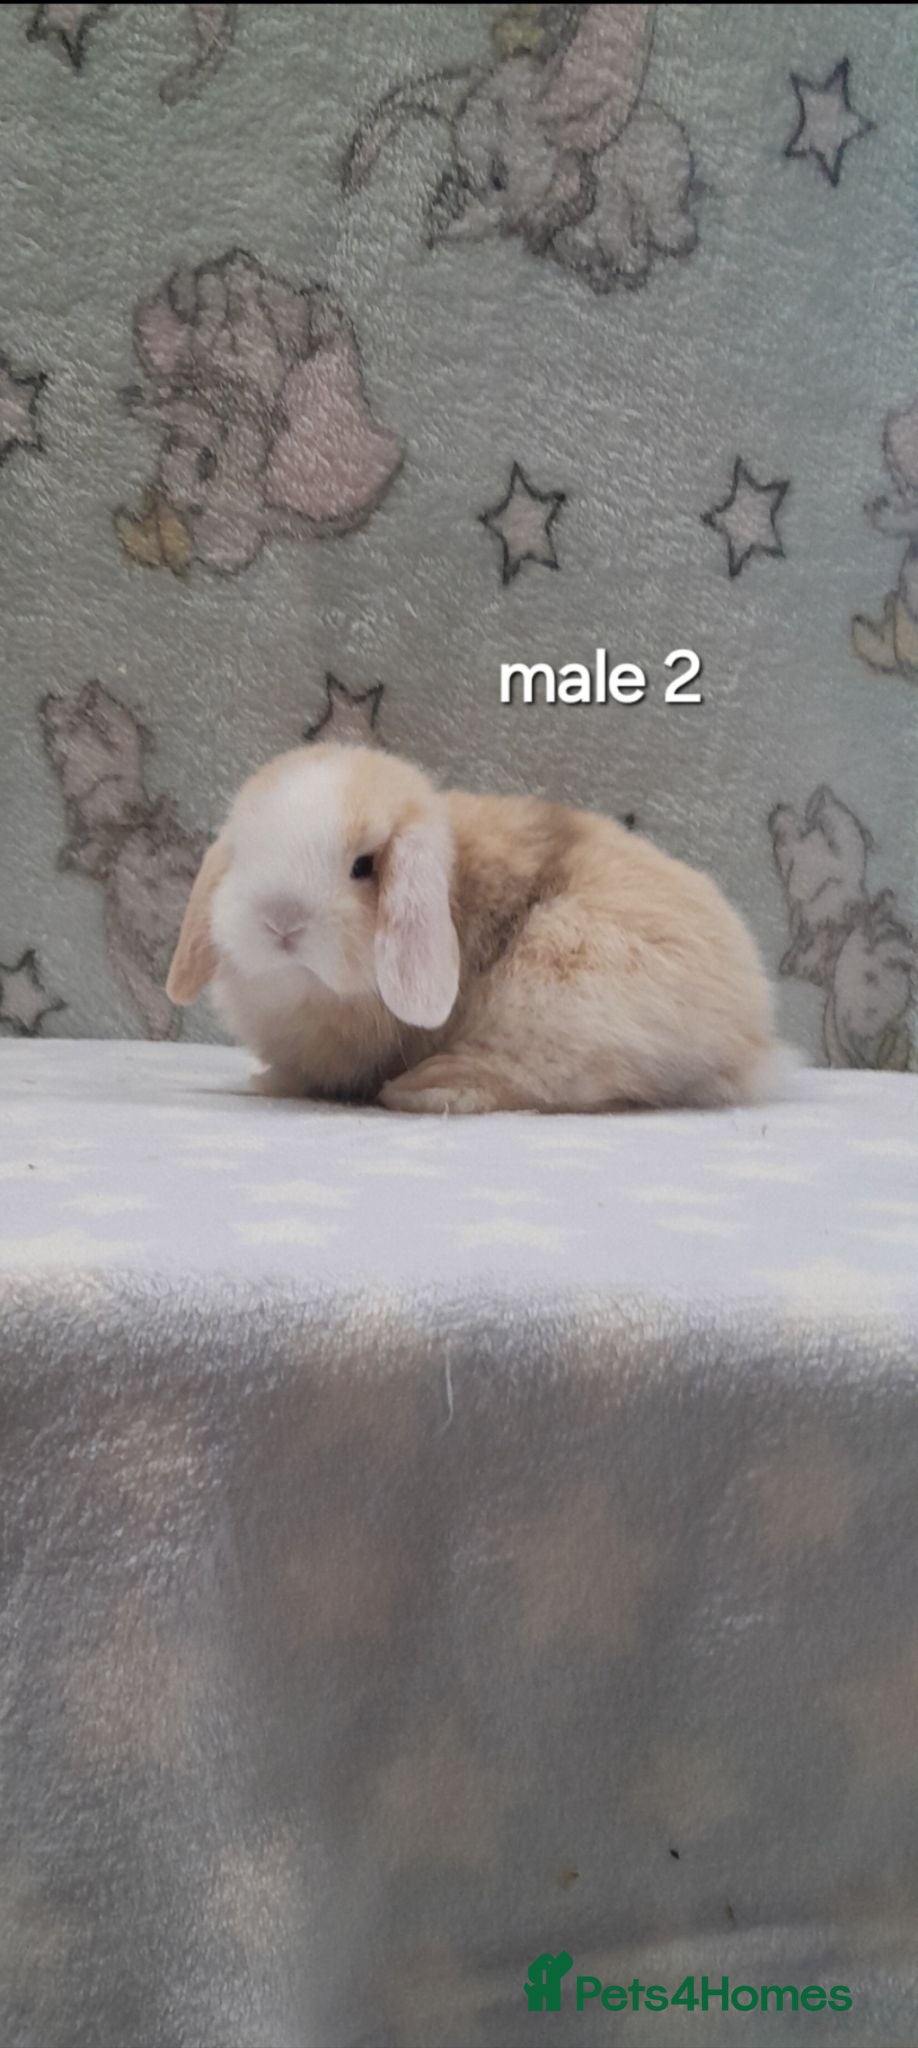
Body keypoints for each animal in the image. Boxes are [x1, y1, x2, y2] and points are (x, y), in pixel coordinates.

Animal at [166, 744, 779, 1114]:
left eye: (364, 866)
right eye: (242, 854)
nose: (281, 922)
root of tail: (752, 1025)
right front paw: (271, 1081)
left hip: (561, 987)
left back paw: (430, 1085)